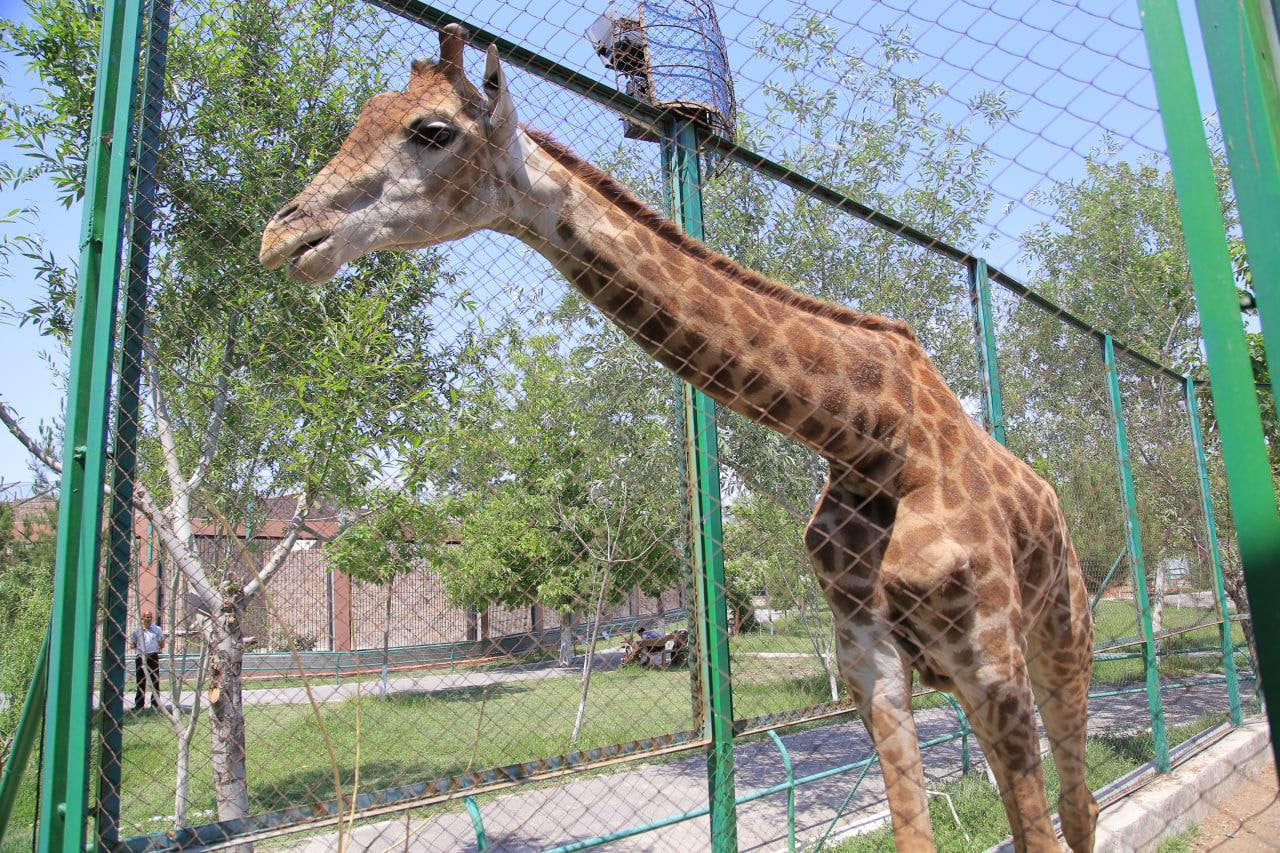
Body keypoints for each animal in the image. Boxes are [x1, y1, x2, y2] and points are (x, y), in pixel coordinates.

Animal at [259, 23, 1100, 845]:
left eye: (430, 130)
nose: (283, 234)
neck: (869, 435)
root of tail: (1055, 501)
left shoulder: (989, 660)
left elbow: (1043, 828)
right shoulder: (874, 665)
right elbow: (913, 829)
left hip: (1060, 634)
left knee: (1078, 803)